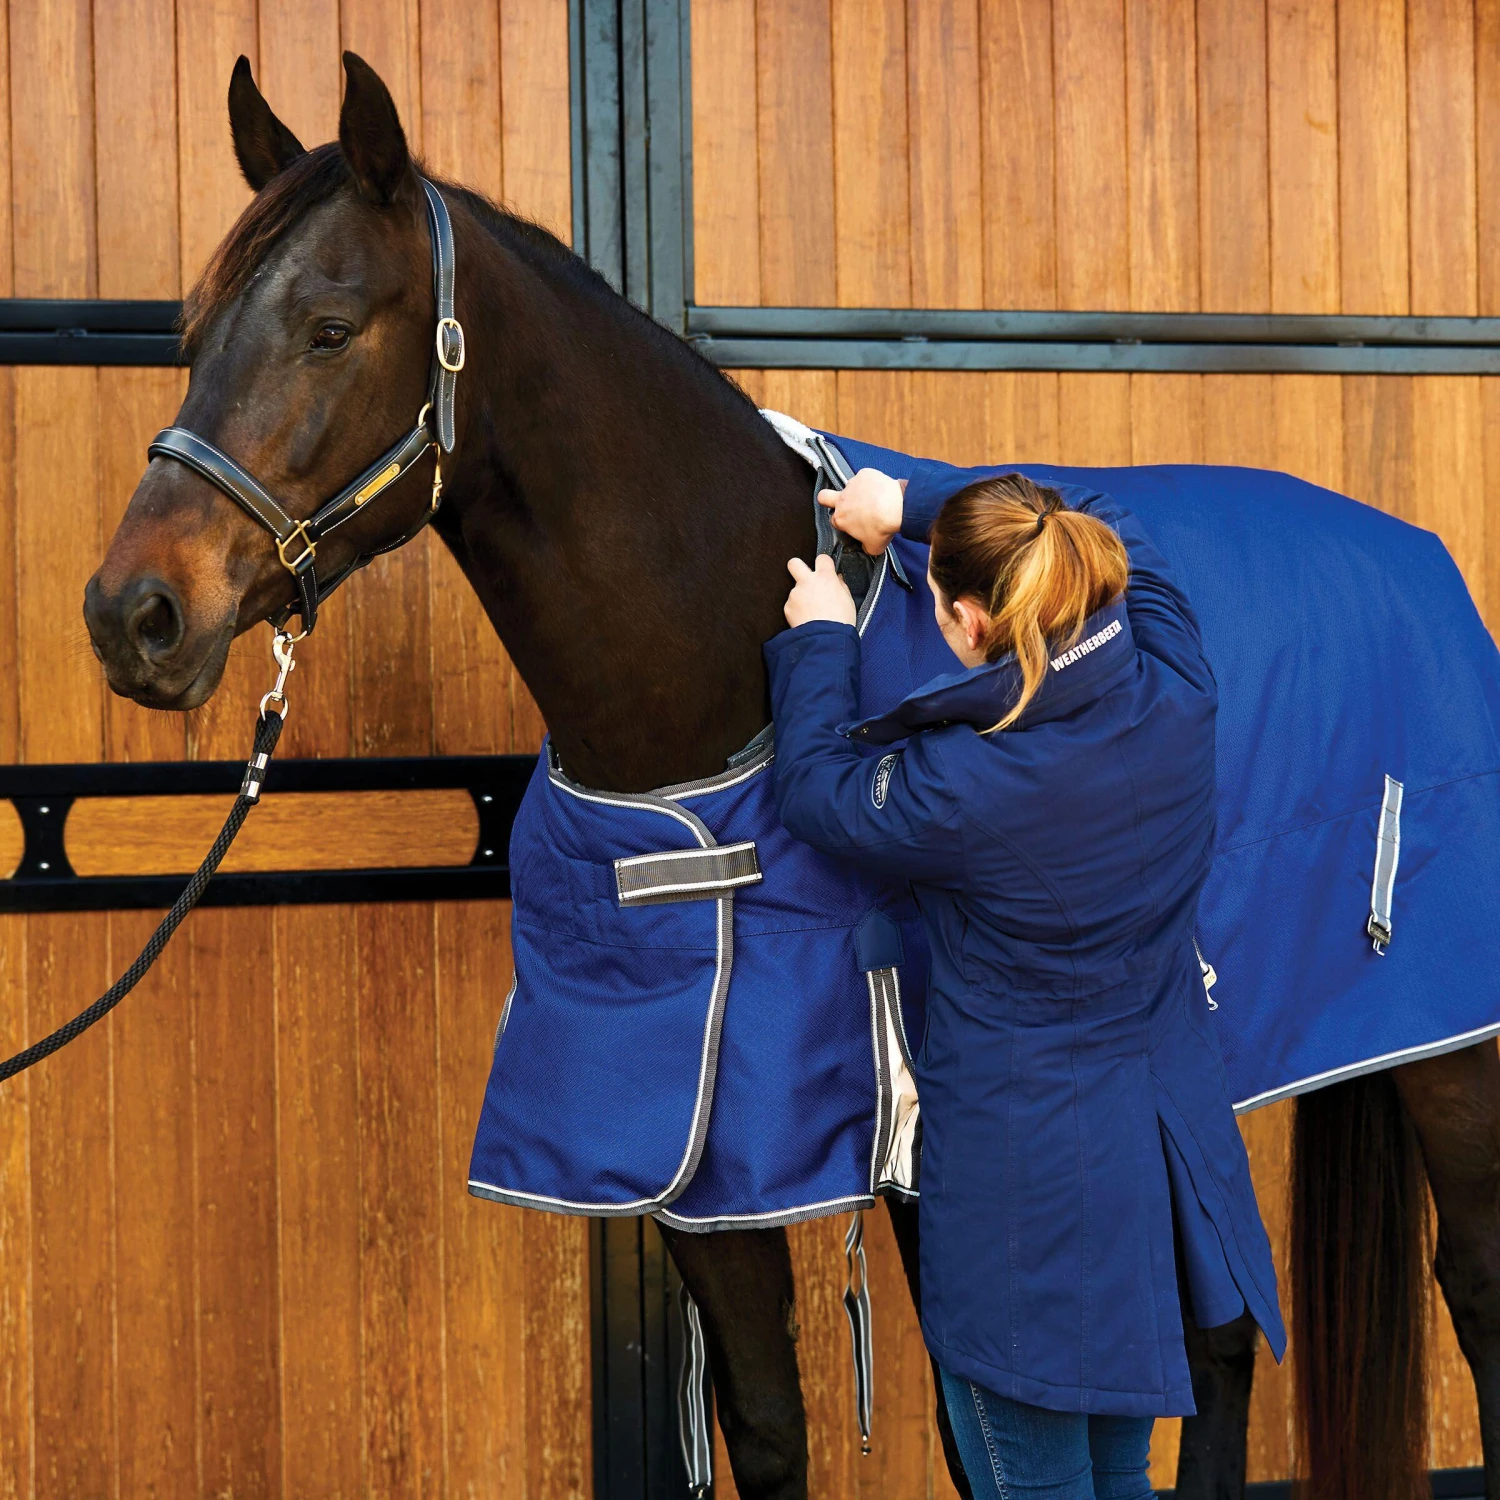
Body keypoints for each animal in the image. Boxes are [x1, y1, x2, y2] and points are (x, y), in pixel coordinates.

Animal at [82, 53, 1500, 1500]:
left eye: (328, 327)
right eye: (194, 336)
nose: (134, 615)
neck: (712, 702)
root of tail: (1418, 559)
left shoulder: (938, 1168)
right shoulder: (693, 1169)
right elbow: (766, 1425)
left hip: (1454, 1057)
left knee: (1471, 1294)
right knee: (1217, 1343)